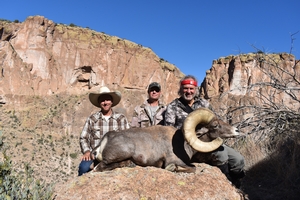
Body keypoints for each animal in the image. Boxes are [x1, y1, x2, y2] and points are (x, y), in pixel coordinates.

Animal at [91, 108, 239, 172]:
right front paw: (173, 169)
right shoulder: (173, 160)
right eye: (215, 125)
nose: (236, 130)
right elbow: (193, 168)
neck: (183, 144)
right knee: (99, 167)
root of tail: (106, 138)